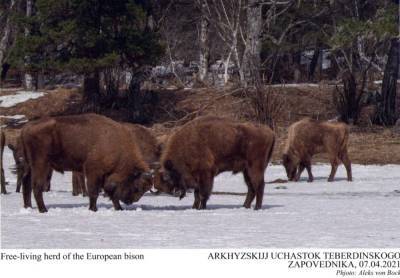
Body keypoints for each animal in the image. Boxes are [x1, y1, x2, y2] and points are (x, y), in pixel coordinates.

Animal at [20, 113, 155, 213]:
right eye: (137, 187)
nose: (130, 201)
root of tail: (26, 128)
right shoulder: (93, 171)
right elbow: (94, 191)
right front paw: (93, 209)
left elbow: (111, 193)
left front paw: (119, 208)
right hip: (41, 164)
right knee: (36, 185)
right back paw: (43, 210)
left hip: (29, 165)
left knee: (26, 182)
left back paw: (28, 207)